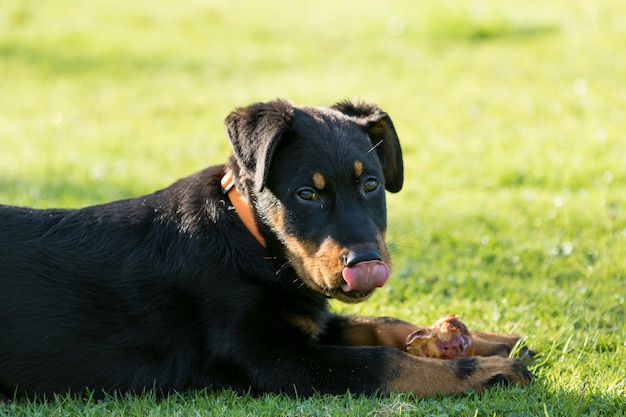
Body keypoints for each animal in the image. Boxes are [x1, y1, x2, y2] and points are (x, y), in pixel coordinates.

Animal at [0, 98, 532, 396]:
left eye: (372, 186)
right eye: (306, 194)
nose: (366, 263)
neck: (255, 243)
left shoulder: (304, 320)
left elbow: (380, 324)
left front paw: (489, 339)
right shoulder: (270, 357)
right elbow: (385, 362)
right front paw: (490, 371)